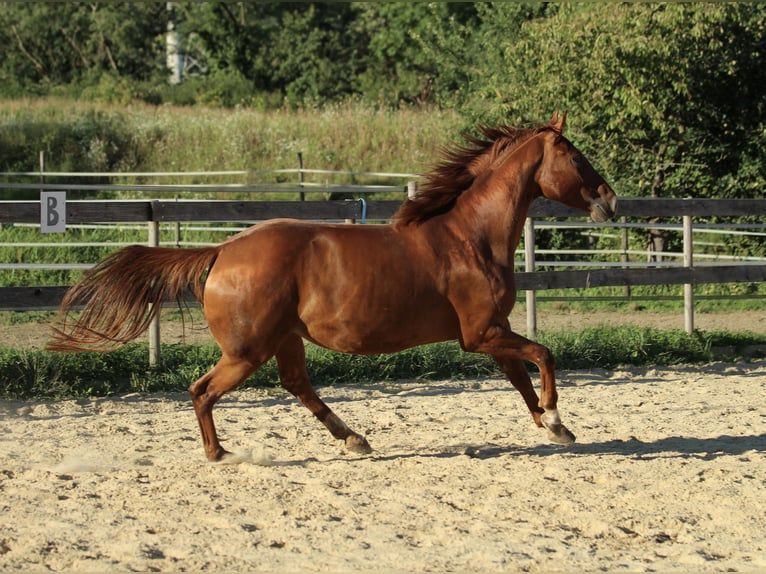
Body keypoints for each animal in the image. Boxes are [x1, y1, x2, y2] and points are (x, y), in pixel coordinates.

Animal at [49, 111, 616, 464]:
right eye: (575, 156)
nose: (610, 200)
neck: (469, 237)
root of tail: (222, 252)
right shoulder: (480, 334)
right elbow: (543, 355)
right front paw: (556, 417)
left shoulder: (490, 332)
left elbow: (520, 378)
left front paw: (553, 426)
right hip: (248, 350)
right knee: (202, 390)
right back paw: (221, 454)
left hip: (284, 340)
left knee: (297, 386)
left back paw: (355, 439)